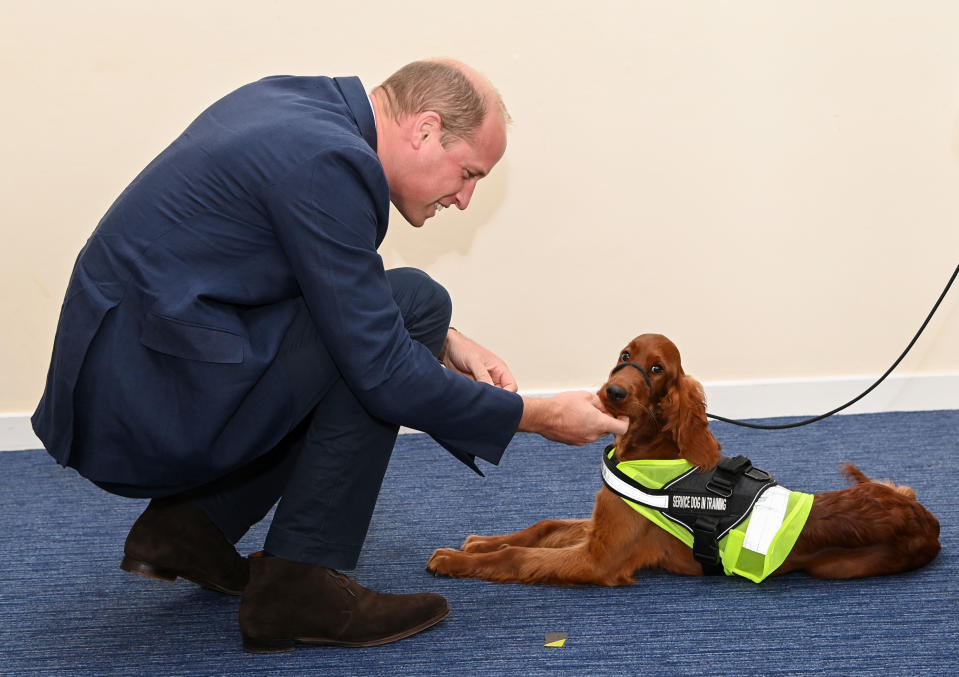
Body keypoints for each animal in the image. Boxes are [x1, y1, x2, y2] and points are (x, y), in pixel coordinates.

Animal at [426, 330, 936, 584]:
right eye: (624, 355)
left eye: (656, 369)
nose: (613, 392)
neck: (647, 449)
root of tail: (926, 521)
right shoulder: (600, 525)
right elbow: (542, 527)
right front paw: (479, 543)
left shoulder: (600, 560)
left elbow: (518, 556)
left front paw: (454, 560)